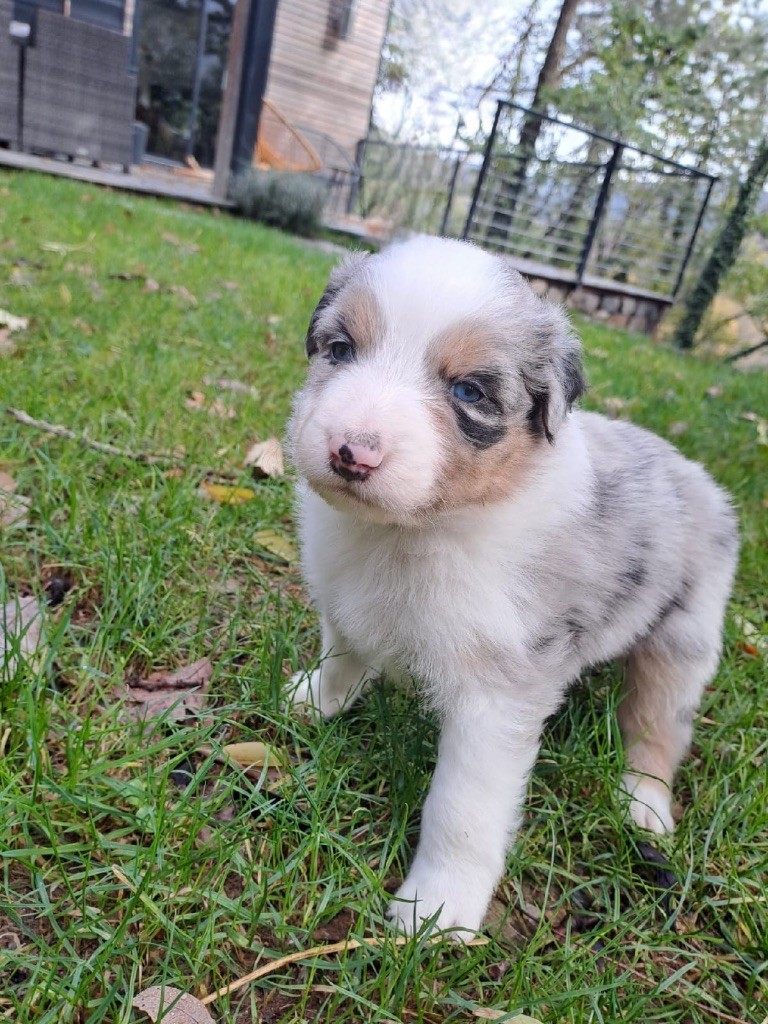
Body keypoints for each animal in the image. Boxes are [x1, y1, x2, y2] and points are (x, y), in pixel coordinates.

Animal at [286, 236, 738, 937]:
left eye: (469, 391)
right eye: (340, 350)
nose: (350, 453)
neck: (411, 534)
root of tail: (698, 475)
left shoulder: (496, 696)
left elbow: (461, 811)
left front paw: (435, 912)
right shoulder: (343, 594)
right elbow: (342, 655)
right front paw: (315, 700)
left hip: (684, 639)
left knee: (658, 726)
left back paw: (644, 805)